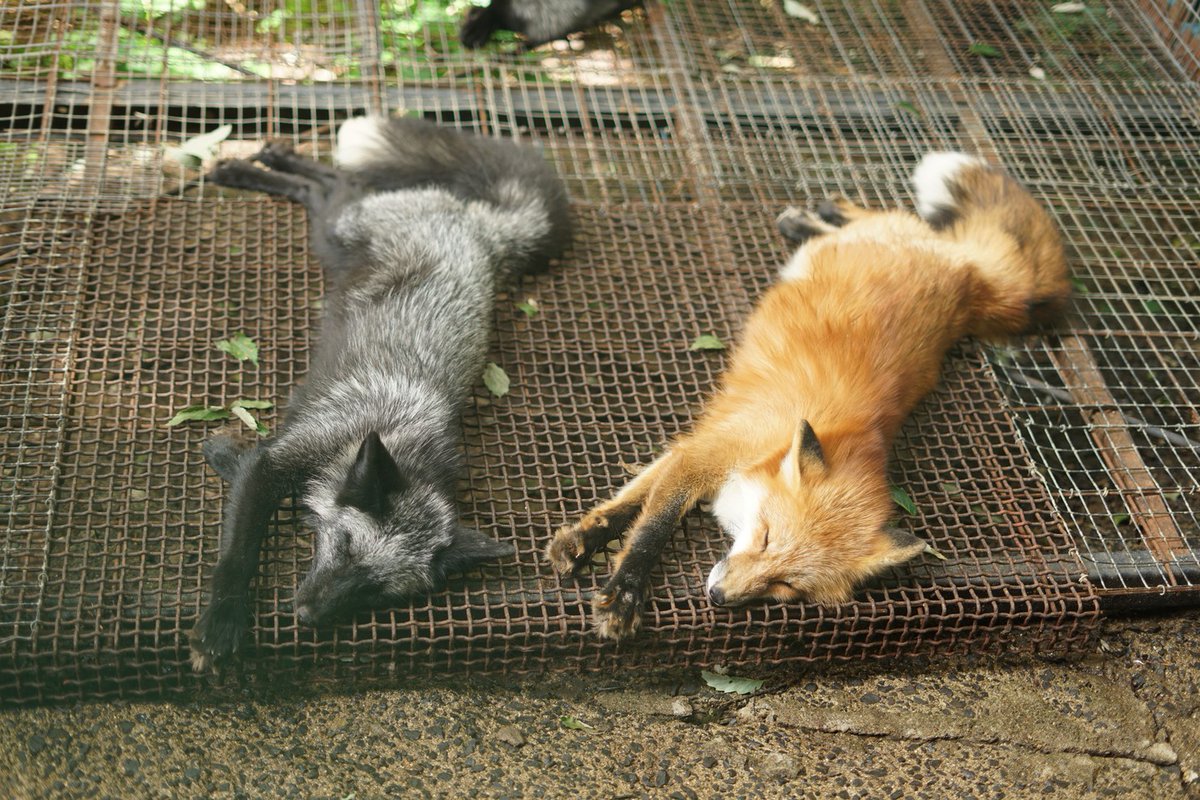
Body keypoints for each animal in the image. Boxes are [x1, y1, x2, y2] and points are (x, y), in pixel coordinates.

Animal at [189, 115, 571, 672]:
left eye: (376, 591)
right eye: (346, 547)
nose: (307, 615)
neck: (392, 437)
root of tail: (479, 225)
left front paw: (224, 455)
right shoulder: (281, 458)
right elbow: (238, 553)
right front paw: (220, 624)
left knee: (333, 184)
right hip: (336, 231)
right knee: (331, 187)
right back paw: (255, 165)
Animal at [546, 152, 1070, 640]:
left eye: (786, 586)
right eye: (764, 536)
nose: (717, 597)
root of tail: (969, 278)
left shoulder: (707, 444)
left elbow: (637, 502)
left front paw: (591, 553)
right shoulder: (713, 446)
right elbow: (646, 521)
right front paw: (617, 582)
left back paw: (811, 218)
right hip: (888, 237)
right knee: (892, 216)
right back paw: (816, 214)